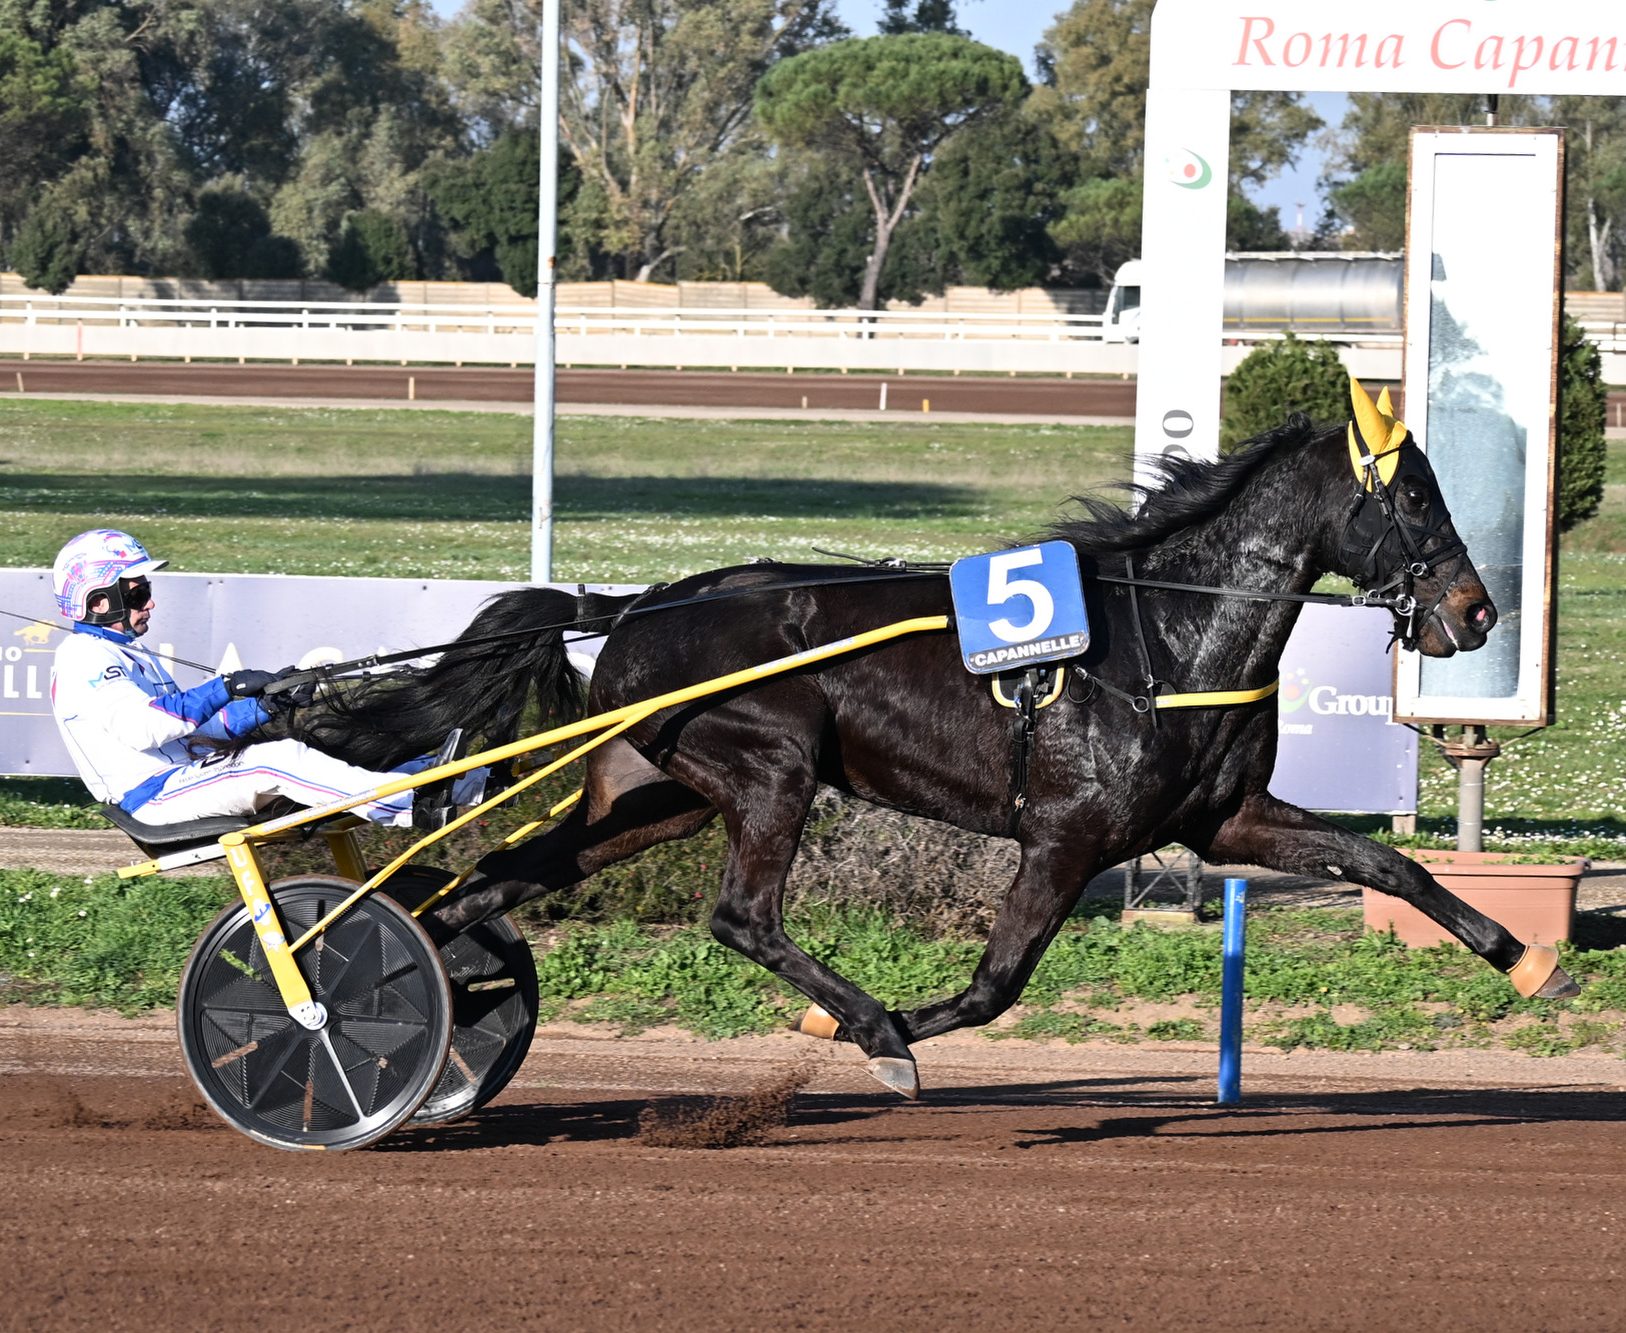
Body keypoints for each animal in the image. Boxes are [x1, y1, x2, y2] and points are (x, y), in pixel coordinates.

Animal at [289, 385, 1573, 1092]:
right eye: (1413, 496)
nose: (1476, 613)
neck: (1166, 635)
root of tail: (642, 603)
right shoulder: (1065, 839)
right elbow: (998, 983)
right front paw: (876, 1033)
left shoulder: (1225, 819)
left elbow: (1387, 862)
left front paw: (1528, 957)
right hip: (769, 766)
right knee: (740, 915)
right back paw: (860, 1019)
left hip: (647, 795)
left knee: (490, 880)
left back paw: (410, 996)